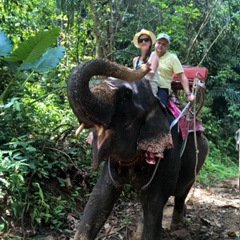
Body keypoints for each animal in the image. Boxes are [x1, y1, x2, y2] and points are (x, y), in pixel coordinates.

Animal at [67, 58, 208, 240]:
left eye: (125, 97)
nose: (147, 64)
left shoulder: (169, 154)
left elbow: (154, 206)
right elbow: (99, 199)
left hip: (196, 166)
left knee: (181, 192)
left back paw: (177, 225)